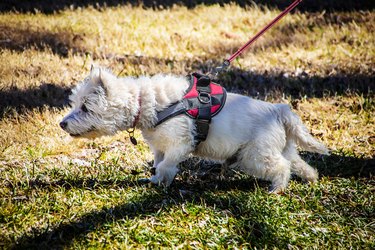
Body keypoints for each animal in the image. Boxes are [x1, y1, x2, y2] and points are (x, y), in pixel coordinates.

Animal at [61, 67, 328, 193]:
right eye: (76, 104)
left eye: (85, 107)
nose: (62, 124)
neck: (144, 102)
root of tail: (279, 111)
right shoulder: (160, 146)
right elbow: (158, 163)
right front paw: (155, 179)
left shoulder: (180, 144)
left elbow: (167, 164)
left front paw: (162, 180)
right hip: (282, 148)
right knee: (300, 164)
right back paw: (312, 179)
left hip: (256, 155)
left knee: (282, 168)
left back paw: (277, 190)